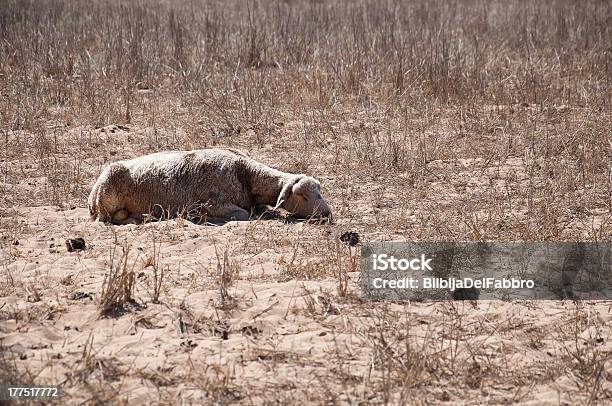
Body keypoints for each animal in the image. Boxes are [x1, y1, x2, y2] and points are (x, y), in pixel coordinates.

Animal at [87, 148, 330, 225]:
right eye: (303, 196)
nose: (328, 213)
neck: (245, 173)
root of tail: (91, 197)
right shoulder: (212, 204)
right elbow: (243, 214)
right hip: (106, 202)